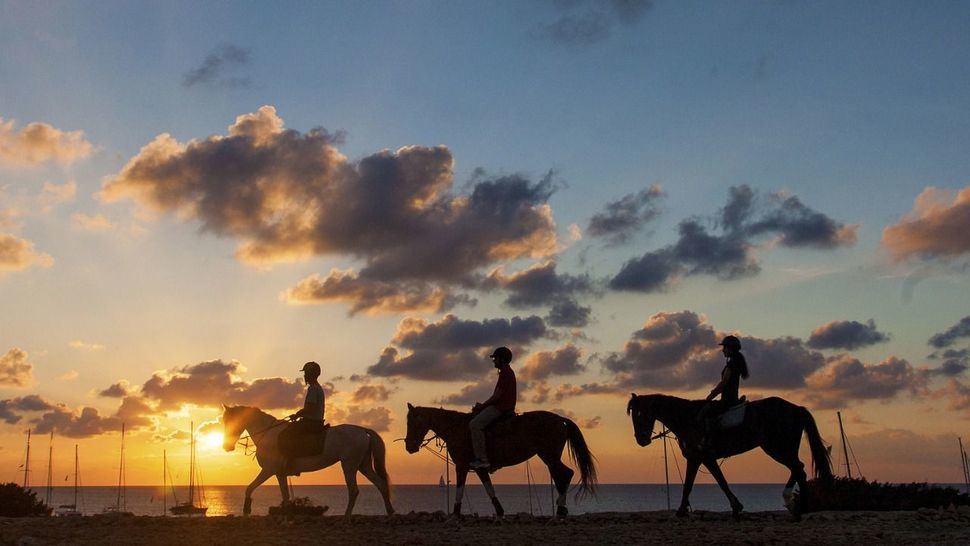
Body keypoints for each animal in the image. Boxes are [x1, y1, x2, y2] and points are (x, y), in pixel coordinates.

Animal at [220, 404, 394, 516]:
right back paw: (390, 512)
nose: (227, 446)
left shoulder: (268, 470)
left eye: (230, 421)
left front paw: (246, 510)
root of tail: (362, 430)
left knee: (354, 490)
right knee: (380, 484)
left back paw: (347, 515)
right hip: (363, 465)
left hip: (349, 465)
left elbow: (249, 488)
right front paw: (287, 514)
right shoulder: (279, 474)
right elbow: (285, 496)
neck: (268, 435)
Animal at [402, 402, 596, 516]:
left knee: (565, 475)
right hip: (549, 457)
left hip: (549, 456)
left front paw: (456, 514)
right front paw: (500, 511)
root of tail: (560, 419)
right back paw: (561, 507)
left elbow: (460, 488)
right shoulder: (478, 468)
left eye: (412, 422)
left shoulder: (462, 466)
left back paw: (561, 509)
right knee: (561, 476)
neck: (457, 428)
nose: (409, 447)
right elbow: (489, 488)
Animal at [628, 394, 832, 516]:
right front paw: (736, 506)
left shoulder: (697, 457)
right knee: (799, 470)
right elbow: (718, 481)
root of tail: (796, 408)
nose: (641, 440)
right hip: (782, 449)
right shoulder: (704, 459)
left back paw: (797, 503)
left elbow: (693, 484)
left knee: (798, 469)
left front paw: (680, 511)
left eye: (640, 414)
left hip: (777, 448)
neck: (687, 418)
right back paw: (798, 505)